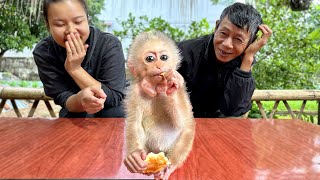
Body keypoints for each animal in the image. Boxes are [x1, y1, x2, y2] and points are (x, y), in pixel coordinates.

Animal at [124, 30, 195, 179]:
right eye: (150, 59)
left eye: (163, 57)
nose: (159, 65)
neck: (156, 88)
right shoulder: (134, 92)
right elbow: (133, 123)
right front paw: (133, 157)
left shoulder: (181, 88)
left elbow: (182, 123)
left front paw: (170, 87)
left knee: (186, 131)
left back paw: (168, 167)